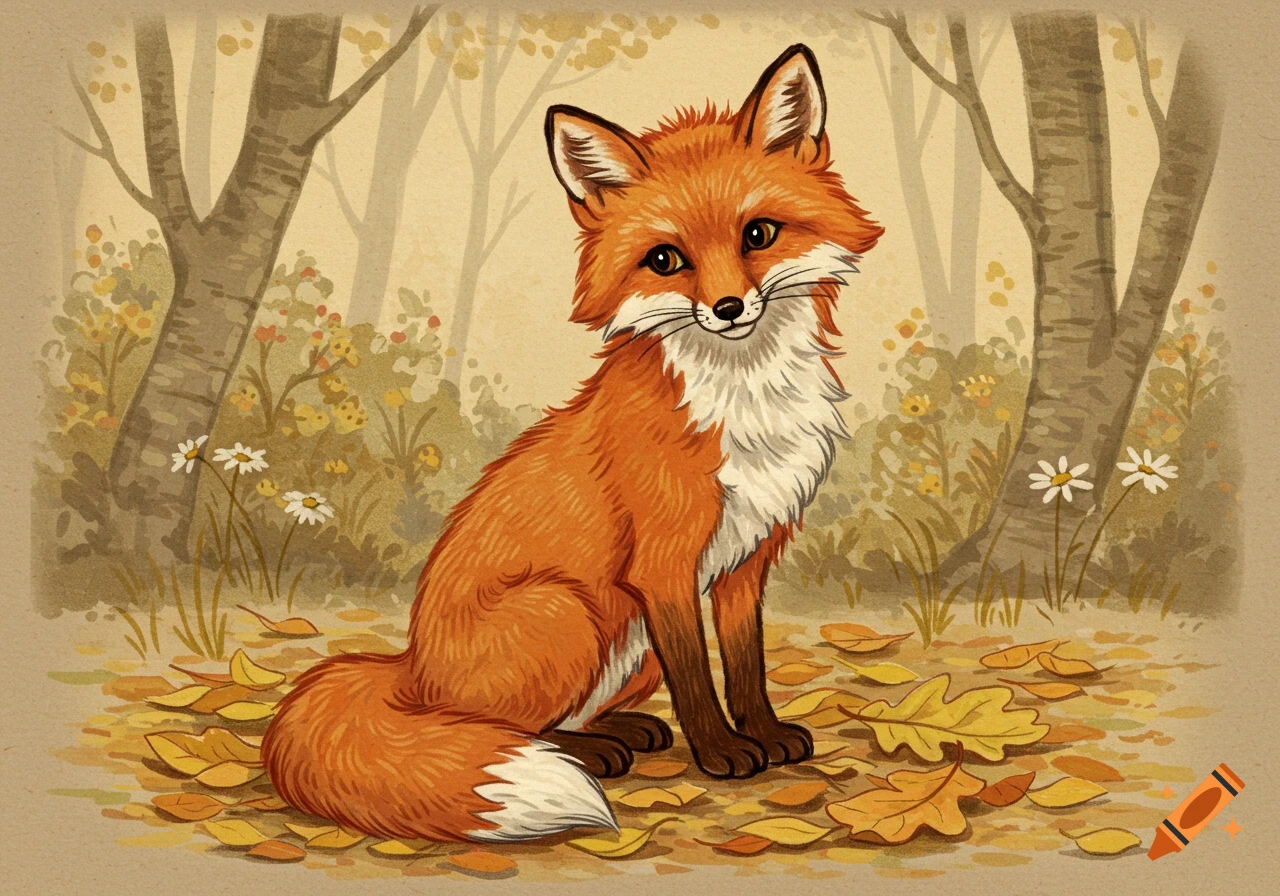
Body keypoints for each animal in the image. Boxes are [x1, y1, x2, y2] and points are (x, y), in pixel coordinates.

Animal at [262, 44, 883, 843]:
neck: (745, 401)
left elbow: (746, 666)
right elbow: (698, 678)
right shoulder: (663, 566)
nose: (728, 308)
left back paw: (619, 732)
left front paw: (766, 734)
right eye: (665, 259)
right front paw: (720, 753)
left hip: (627, 645)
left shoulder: (748, 557)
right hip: (567, 611)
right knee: (493, 730)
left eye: (758, 235)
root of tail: (408, 670)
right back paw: (587, 753)